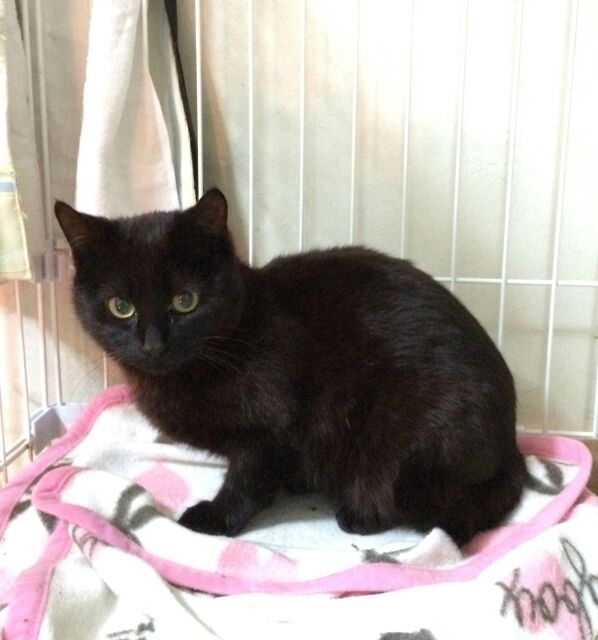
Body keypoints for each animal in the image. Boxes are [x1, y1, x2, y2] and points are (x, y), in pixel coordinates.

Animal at [55, 189, 527, 545]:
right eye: (120, 307)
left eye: (185, 301)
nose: (153, 345)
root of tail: (511, 449)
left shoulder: (272, 424)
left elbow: (247, 478)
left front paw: (216, 518)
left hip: (400, 453)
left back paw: (357, 512)